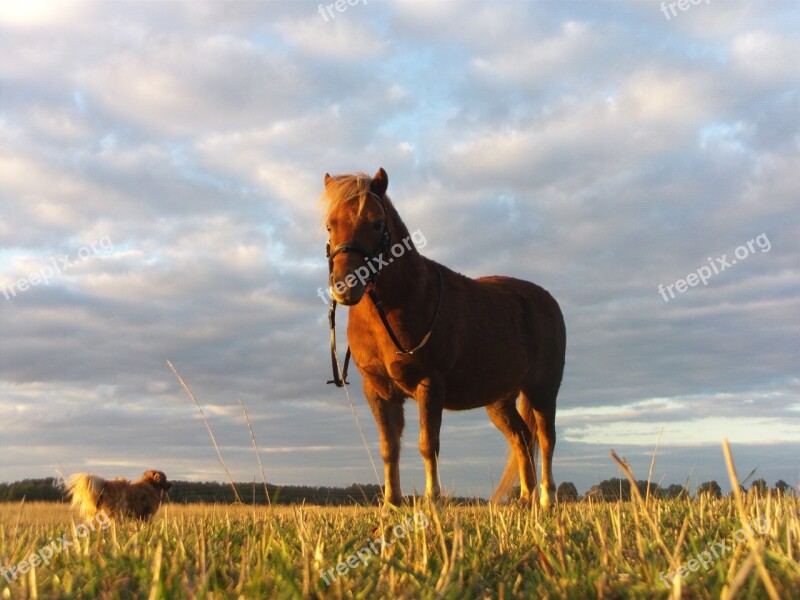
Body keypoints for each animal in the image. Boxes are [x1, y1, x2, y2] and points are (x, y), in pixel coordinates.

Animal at [322, 168, 564, 506]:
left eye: (377, 222)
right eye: (330, 224)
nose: (345, 286)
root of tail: (545, 299)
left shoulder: (429, 384)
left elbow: (428, 444)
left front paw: (433, 501)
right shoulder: (378, 390)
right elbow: (388, 448)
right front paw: (391, 504)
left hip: (542, 388)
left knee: (545, 438)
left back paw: (546, 498)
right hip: (500, 399)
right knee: (521, 438)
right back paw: (525, 500)